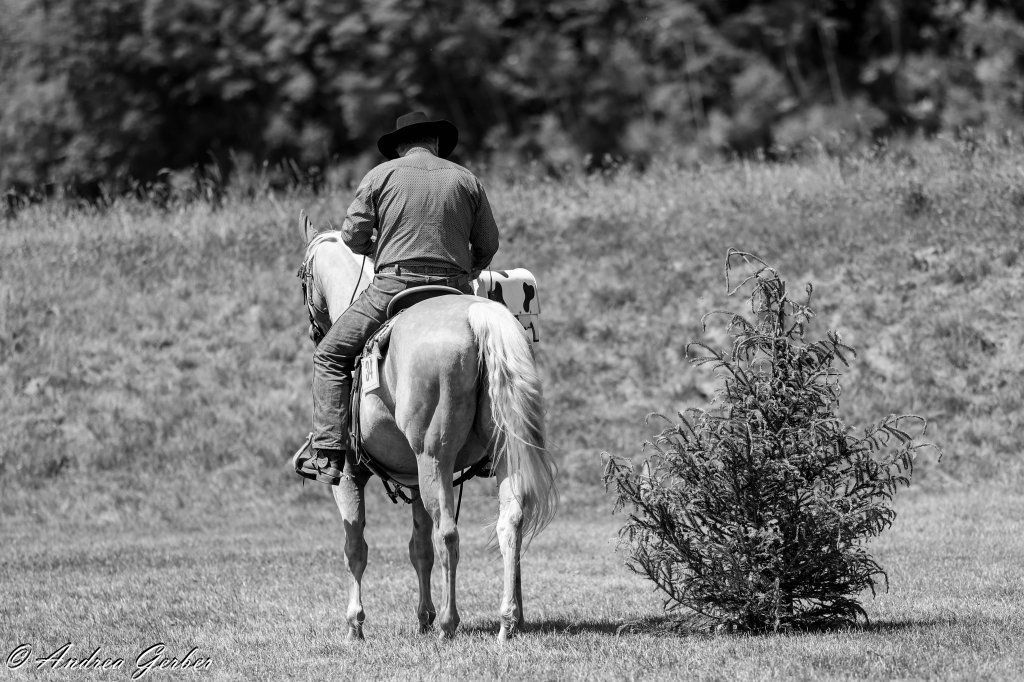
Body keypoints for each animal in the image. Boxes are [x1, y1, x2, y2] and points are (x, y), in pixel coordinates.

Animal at [297, 219, 558, 642]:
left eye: (303, 277)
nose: (314, 331)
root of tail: (478, 318)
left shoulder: (350, 474)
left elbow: (356, 547)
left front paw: (355, 624)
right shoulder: (414, 479)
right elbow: (419, 548)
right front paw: (423, 617)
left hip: (433, 457)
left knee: (448, 533)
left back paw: (450, 624)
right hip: (497, 454)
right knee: (510, 523)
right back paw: (509, 620)